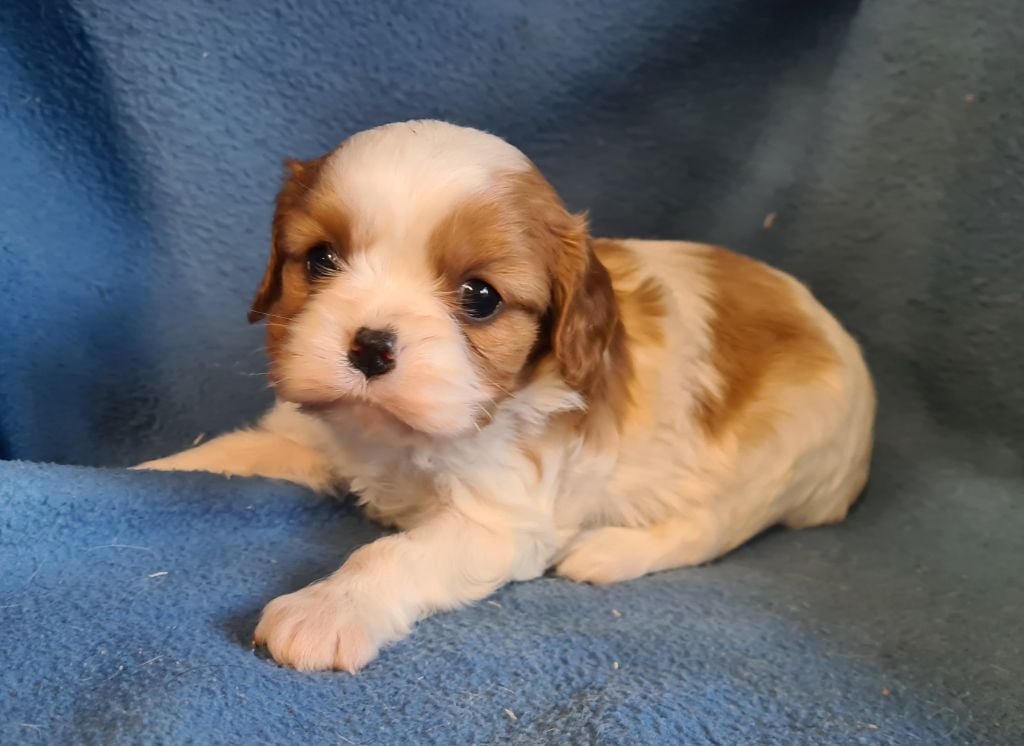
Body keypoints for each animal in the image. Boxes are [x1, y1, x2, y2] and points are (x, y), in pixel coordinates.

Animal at [134, 119, 872, 671]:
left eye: (480, 296)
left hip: (780, 455)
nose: (370, 348)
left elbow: (394, 554)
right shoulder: (306, 436)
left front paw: (325, 610)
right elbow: (229, 453)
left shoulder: (500, 520)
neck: (397, 440)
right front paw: (143, 472)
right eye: (320, 260)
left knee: (712, 526)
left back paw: (611, 552)